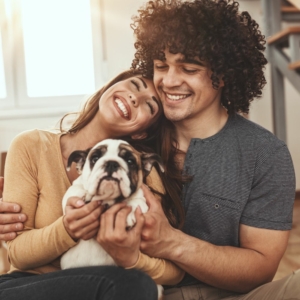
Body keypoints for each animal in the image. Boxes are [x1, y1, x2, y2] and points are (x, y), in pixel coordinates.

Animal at [61, 140, 164, 298]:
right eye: (95, 158)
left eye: (130, 161)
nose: (111, 163)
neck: (108, 199)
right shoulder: (72, 192)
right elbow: (74, 191)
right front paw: (85, 196)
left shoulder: (142, 200)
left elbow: (136, 202)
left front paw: (128, 213)